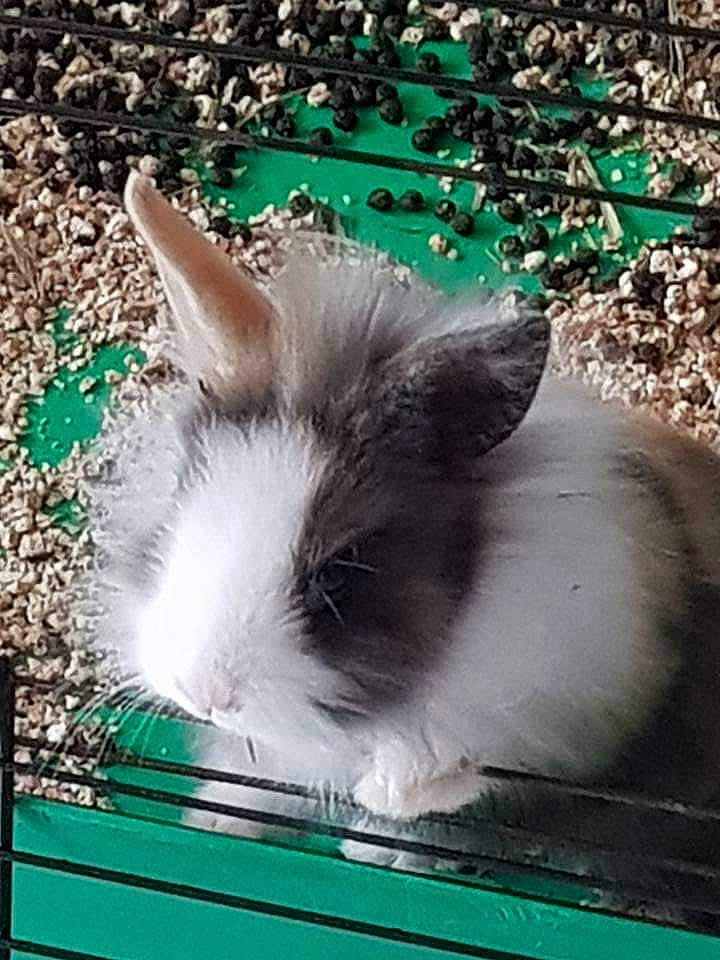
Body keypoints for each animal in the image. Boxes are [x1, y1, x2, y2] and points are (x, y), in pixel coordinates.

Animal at [83, 172, 720, 881]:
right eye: (177, 509)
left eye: (337, 574)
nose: (205, 694)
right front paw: (214, 817)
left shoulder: (571, 718)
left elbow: (473, 769)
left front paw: (388, 794)